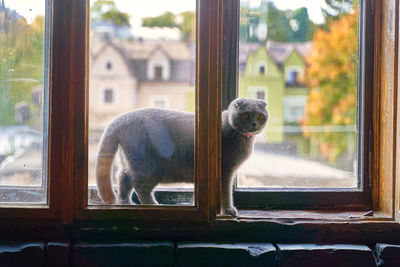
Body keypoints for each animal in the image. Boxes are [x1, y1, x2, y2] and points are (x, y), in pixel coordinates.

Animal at [95, 98, 268, 218]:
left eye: (260, 116)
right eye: (245, 115)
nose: (254, 124)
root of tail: (121, 119)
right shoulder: (225, 171)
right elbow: (226, 193)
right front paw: (228, 210)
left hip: (129, 161)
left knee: (123, 179)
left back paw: (125, 203)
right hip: (148, 167)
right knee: (139, 186)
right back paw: (154, 205)